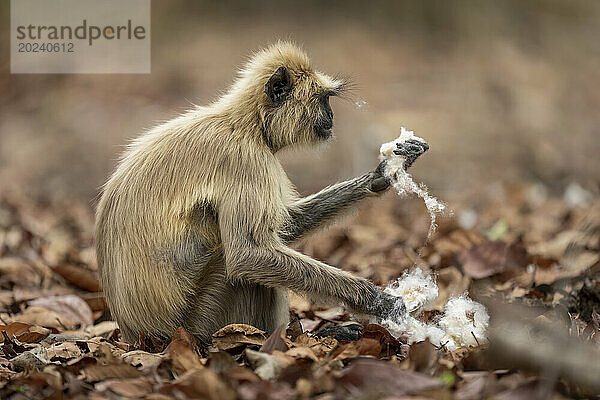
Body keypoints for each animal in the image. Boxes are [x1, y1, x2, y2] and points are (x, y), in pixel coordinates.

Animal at [95, 43, 426, 344]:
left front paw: (382, 175)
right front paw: (376, 300)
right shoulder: (245, 159)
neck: (245, 123)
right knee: (246, 272)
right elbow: (248, 255)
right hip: (198, 323)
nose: (332, 116)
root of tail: (139, 335)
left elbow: (285, 226)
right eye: (323, 100)